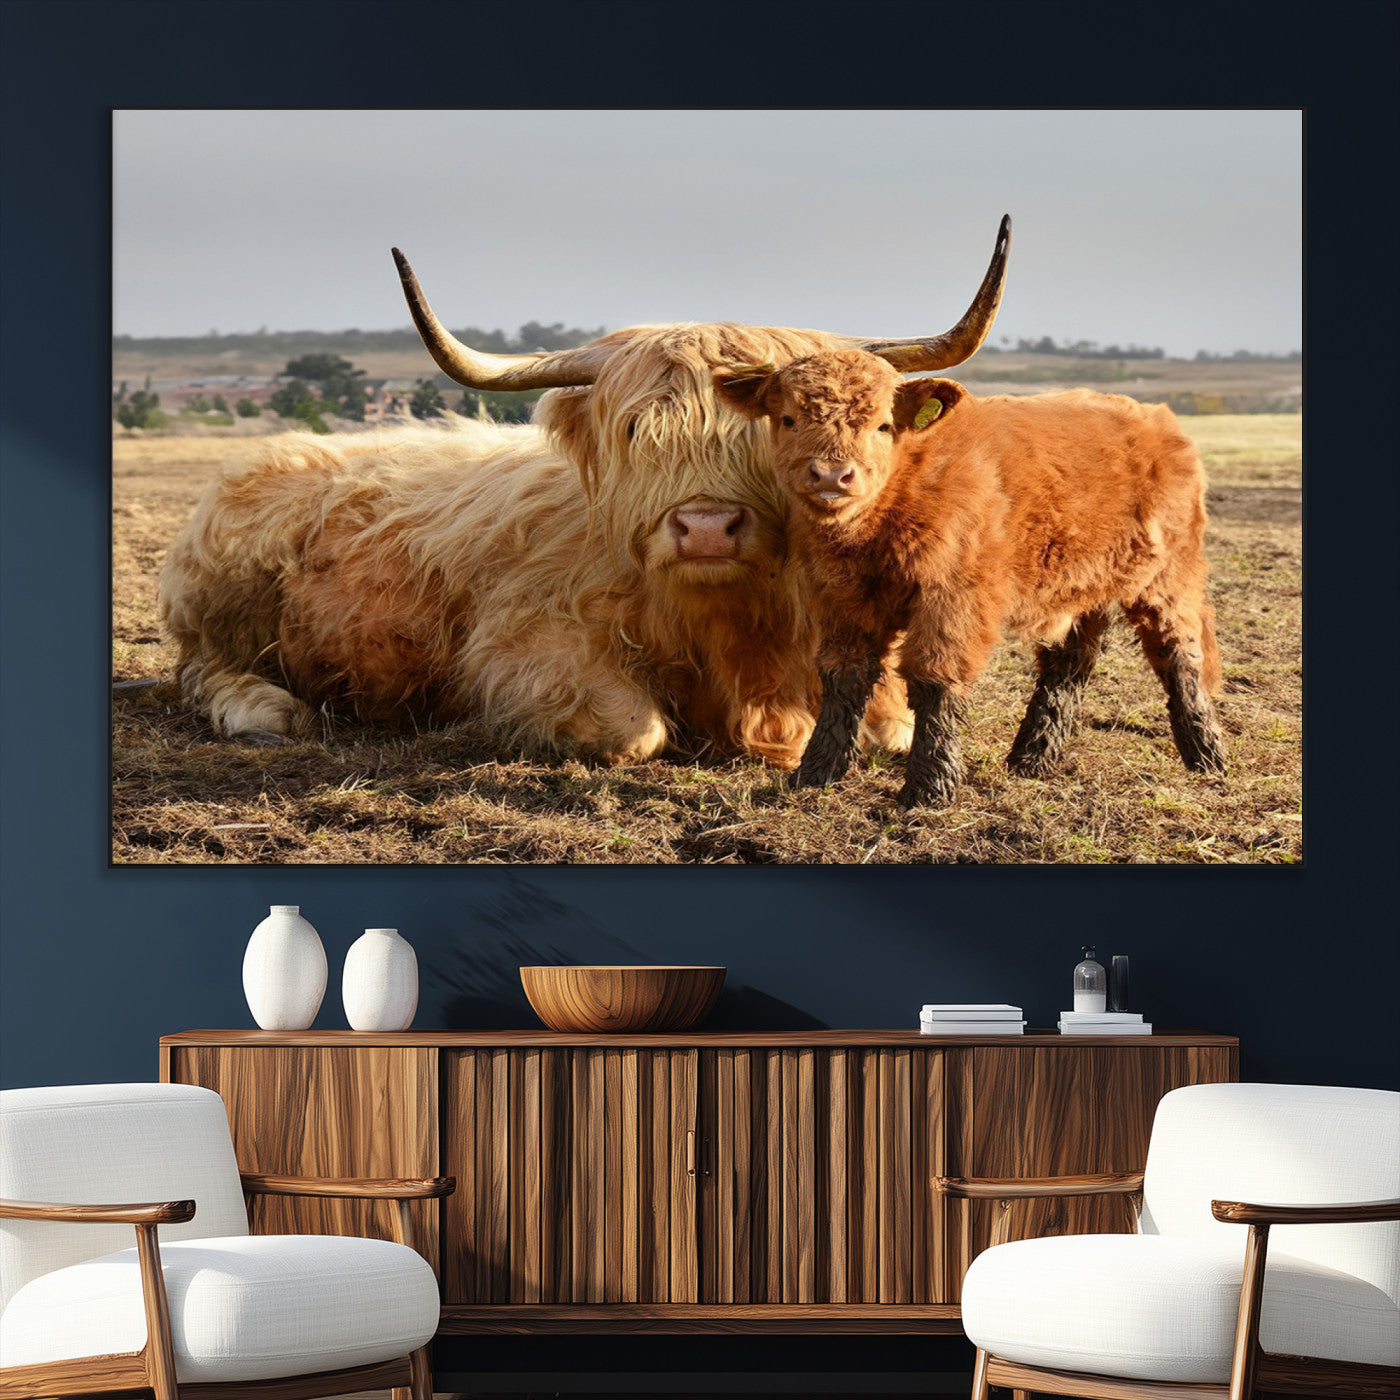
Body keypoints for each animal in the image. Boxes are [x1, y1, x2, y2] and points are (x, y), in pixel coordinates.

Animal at [157, 220, 1010, 768]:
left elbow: (892, 728)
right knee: (200, 671)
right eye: (636, 430)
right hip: (224, 603)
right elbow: (634, 730)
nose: (706, 528)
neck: (734, 626)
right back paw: (266, 713)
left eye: (774, 426)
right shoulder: (521, 648)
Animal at [712, 349, 1227, 807]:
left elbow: (934, 680)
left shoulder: (953, 598)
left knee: (1179, 655)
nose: (832, 475)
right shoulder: (842, 598)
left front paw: (929, 789)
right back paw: (1032, 758)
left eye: (882, 425)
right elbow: (844, 677)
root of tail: (1158, 417)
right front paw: (814, 776)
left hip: (1168, 578)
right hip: (1081, 586)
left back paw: (1208, 758)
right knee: (1069, 665)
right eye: (788, 419)